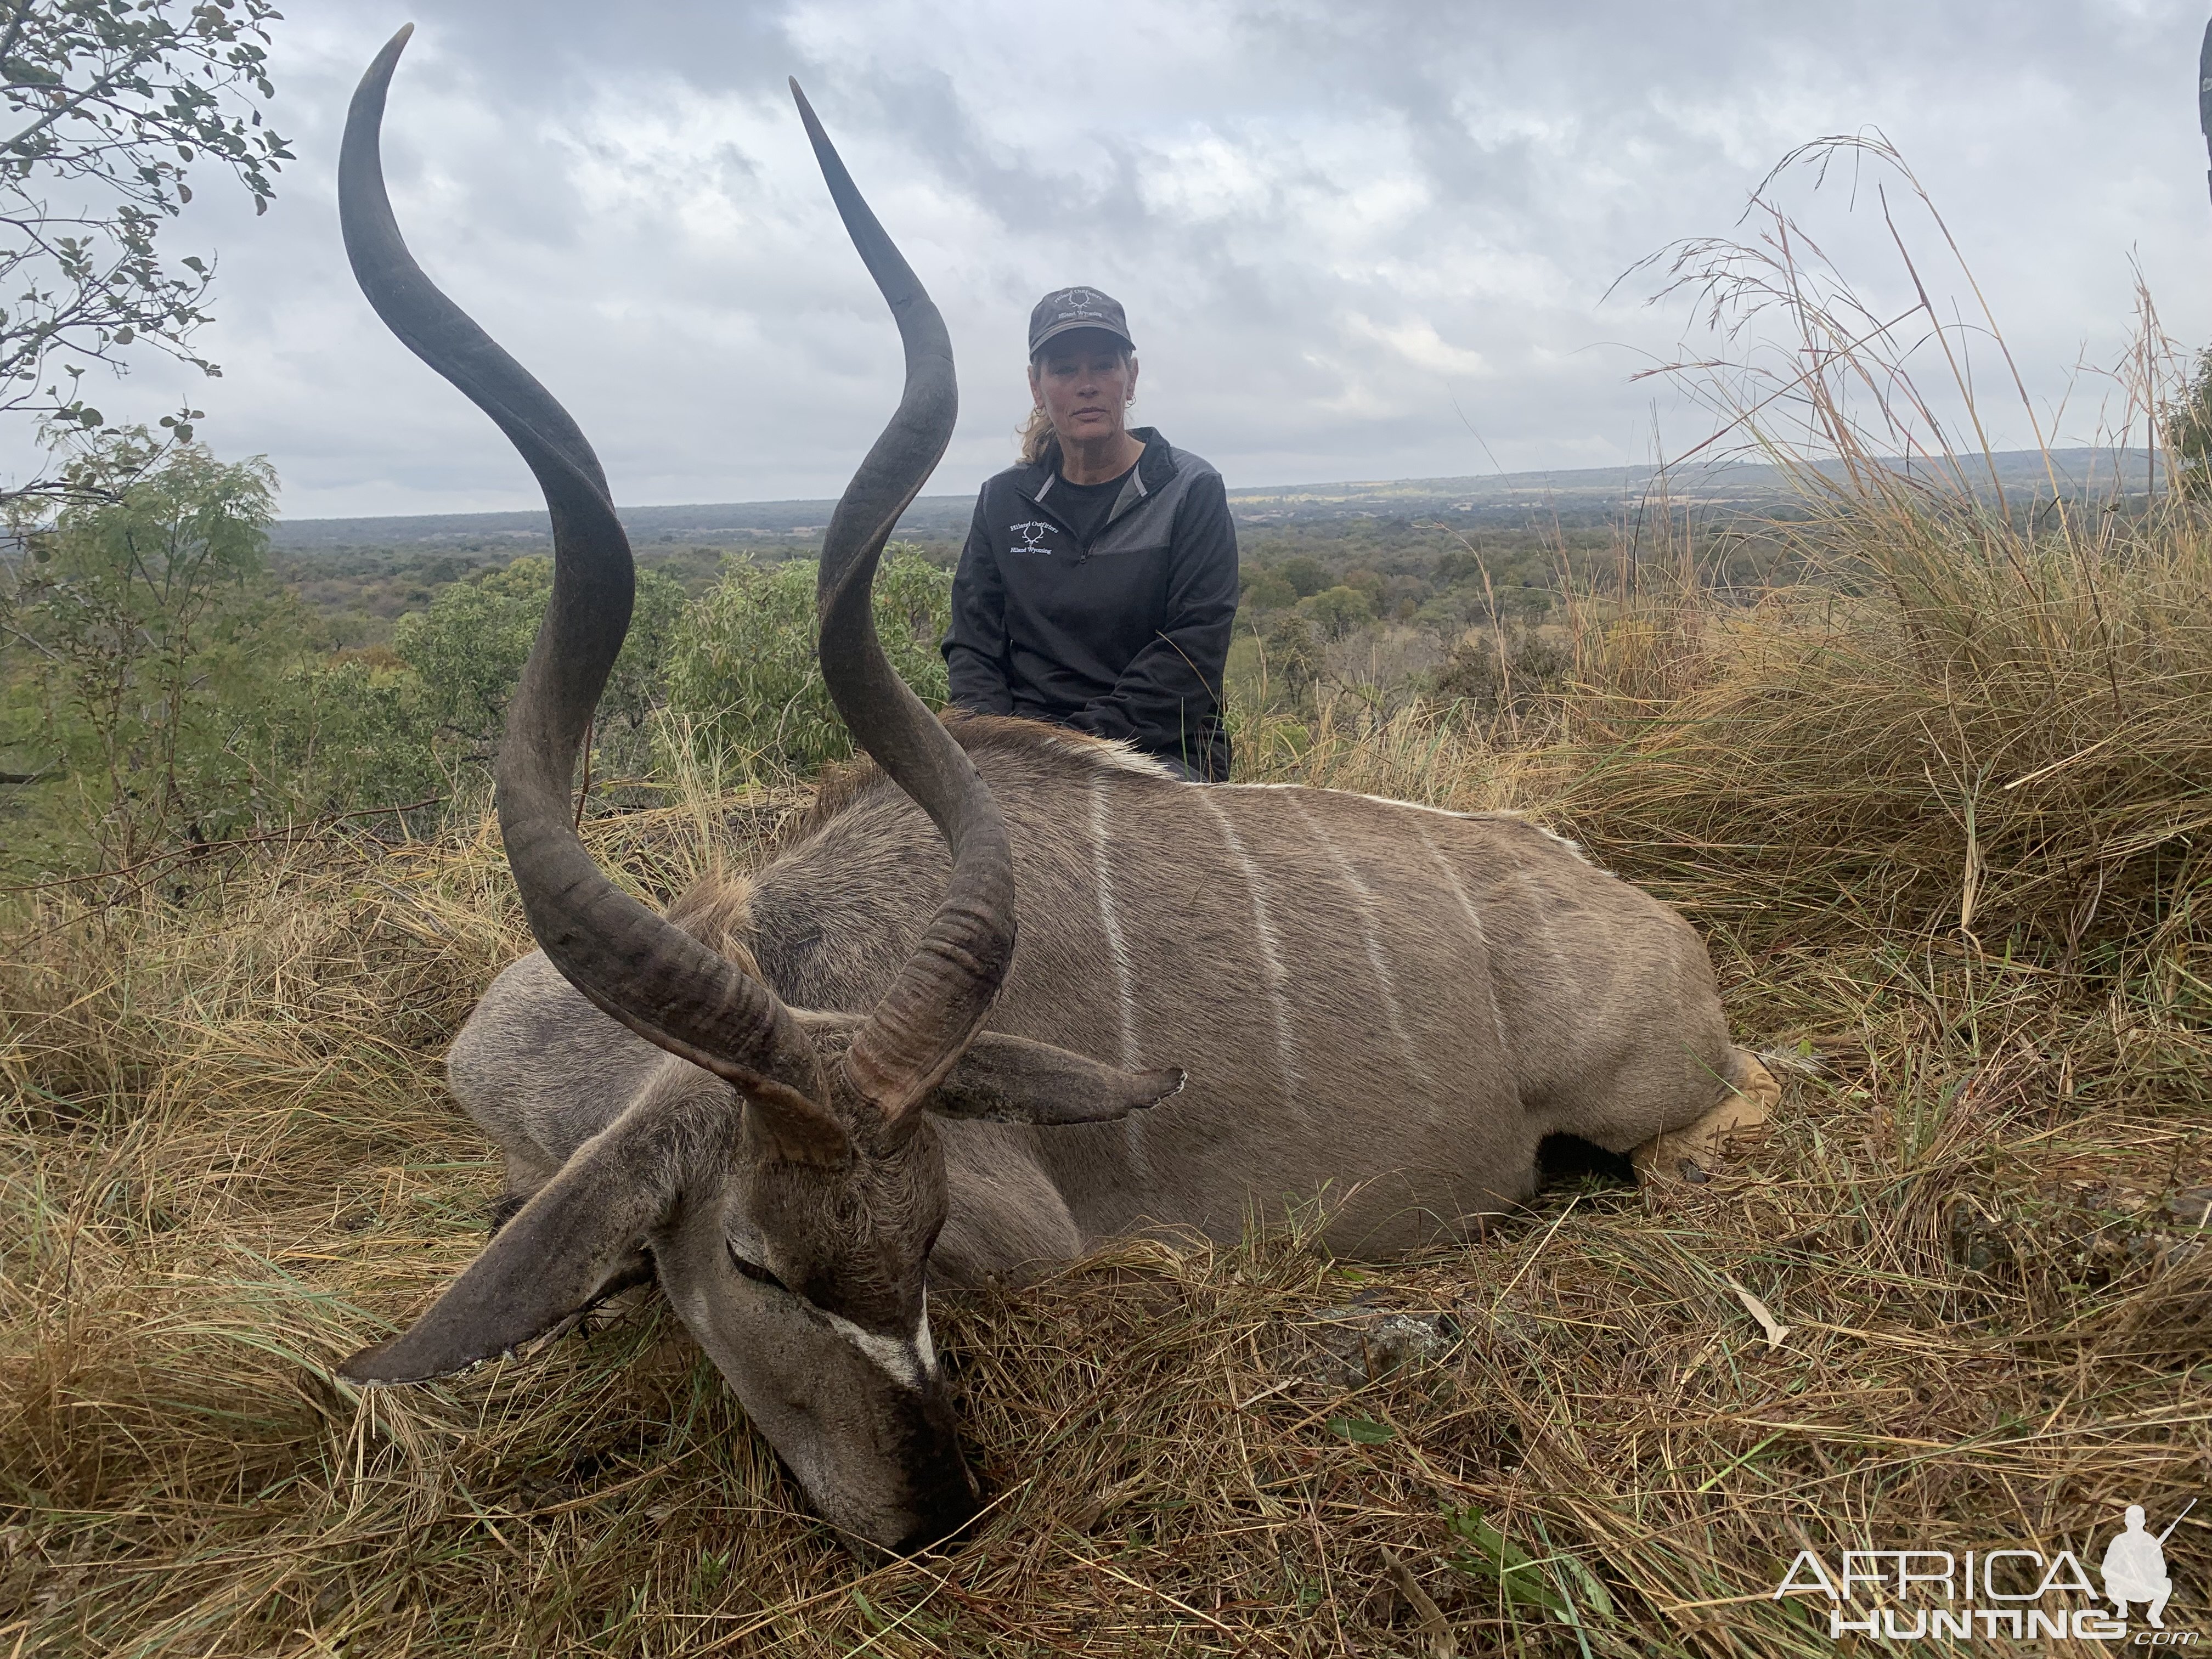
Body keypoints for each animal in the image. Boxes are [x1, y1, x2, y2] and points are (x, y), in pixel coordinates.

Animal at [331, 29, 1778, 1557]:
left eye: (919, 1238)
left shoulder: (1024, 1226)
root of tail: (1645, 917)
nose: (931, 1514)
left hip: (1645, 1095)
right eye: (757, 1265)